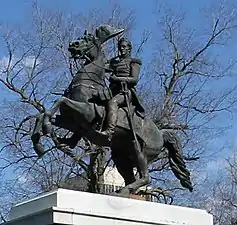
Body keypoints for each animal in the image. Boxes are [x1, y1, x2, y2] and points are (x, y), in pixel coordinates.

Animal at [30, 25, 193, 196]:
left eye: (88, 39)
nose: (73, 44)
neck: (89, 85)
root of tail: (161, 134)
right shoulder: (71, 122)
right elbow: (42, 114)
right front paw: (38, 143)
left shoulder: (86, 112)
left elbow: (60, 101)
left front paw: (46, 129)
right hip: (121, 157)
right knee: (131, 178)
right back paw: (121, 192)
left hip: (140, 150)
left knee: (145, 177)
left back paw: (124, 190)